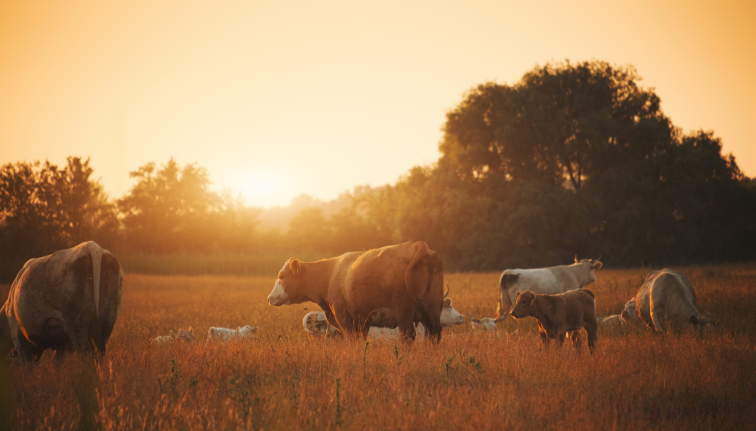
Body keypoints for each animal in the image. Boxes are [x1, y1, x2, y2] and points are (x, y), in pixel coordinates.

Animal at [268, 241, 445, 342]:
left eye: (281, 276)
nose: (269, 298)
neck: (330, 273)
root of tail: (417, 245)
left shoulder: (344, 318)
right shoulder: (362, 322)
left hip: (404, 309)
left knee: (408, 337)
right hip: (434, 307)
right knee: (434, 334)